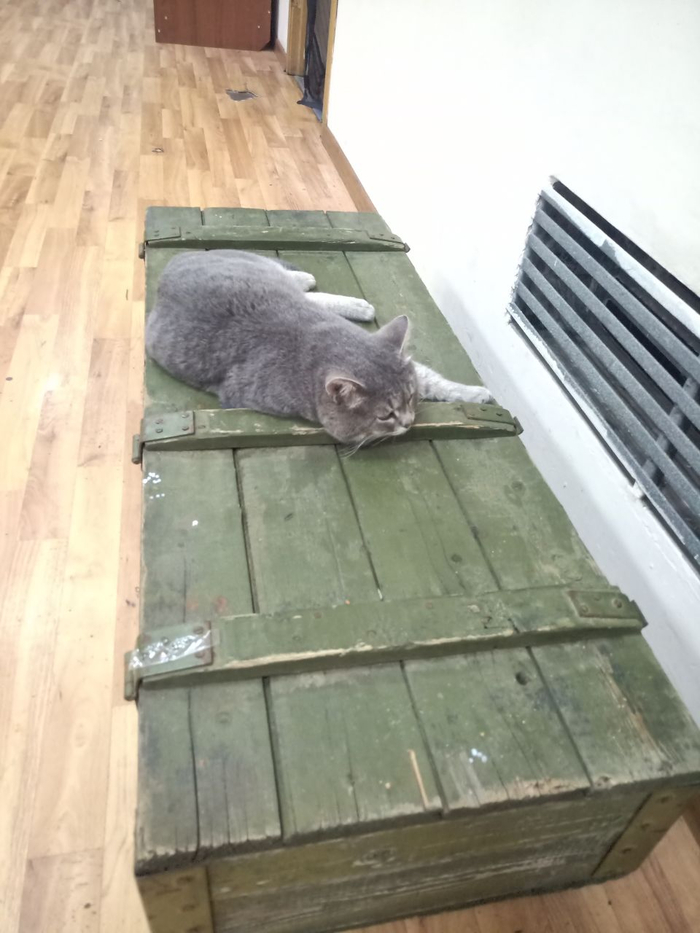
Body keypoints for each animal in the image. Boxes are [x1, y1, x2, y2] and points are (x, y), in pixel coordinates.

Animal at [145, 250, 494, 446]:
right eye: (386, 415)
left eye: (410, 398)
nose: (409, 422)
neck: (319, 343)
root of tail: (177, 260)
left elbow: (432, 378)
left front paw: (474, 394)